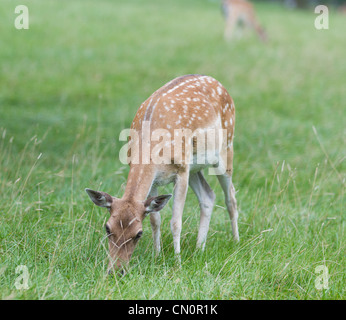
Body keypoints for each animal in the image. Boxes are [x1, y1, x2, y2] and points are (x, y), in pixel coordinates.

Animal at [85, 75, 239, 276]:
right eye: (107, 228)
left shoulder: (181, 170)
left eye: (138, 233)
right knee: (208, 195)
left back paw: (235, 242)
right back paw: (199, 248)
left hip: (225, 149)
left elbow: (175, 222)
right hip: (195, 168)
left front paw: (177, 262)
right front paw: (156, 255)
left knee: (231, 196)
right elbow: (155, 219)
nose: (117, 270)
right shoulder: (156, 180)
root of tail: (218, 83)